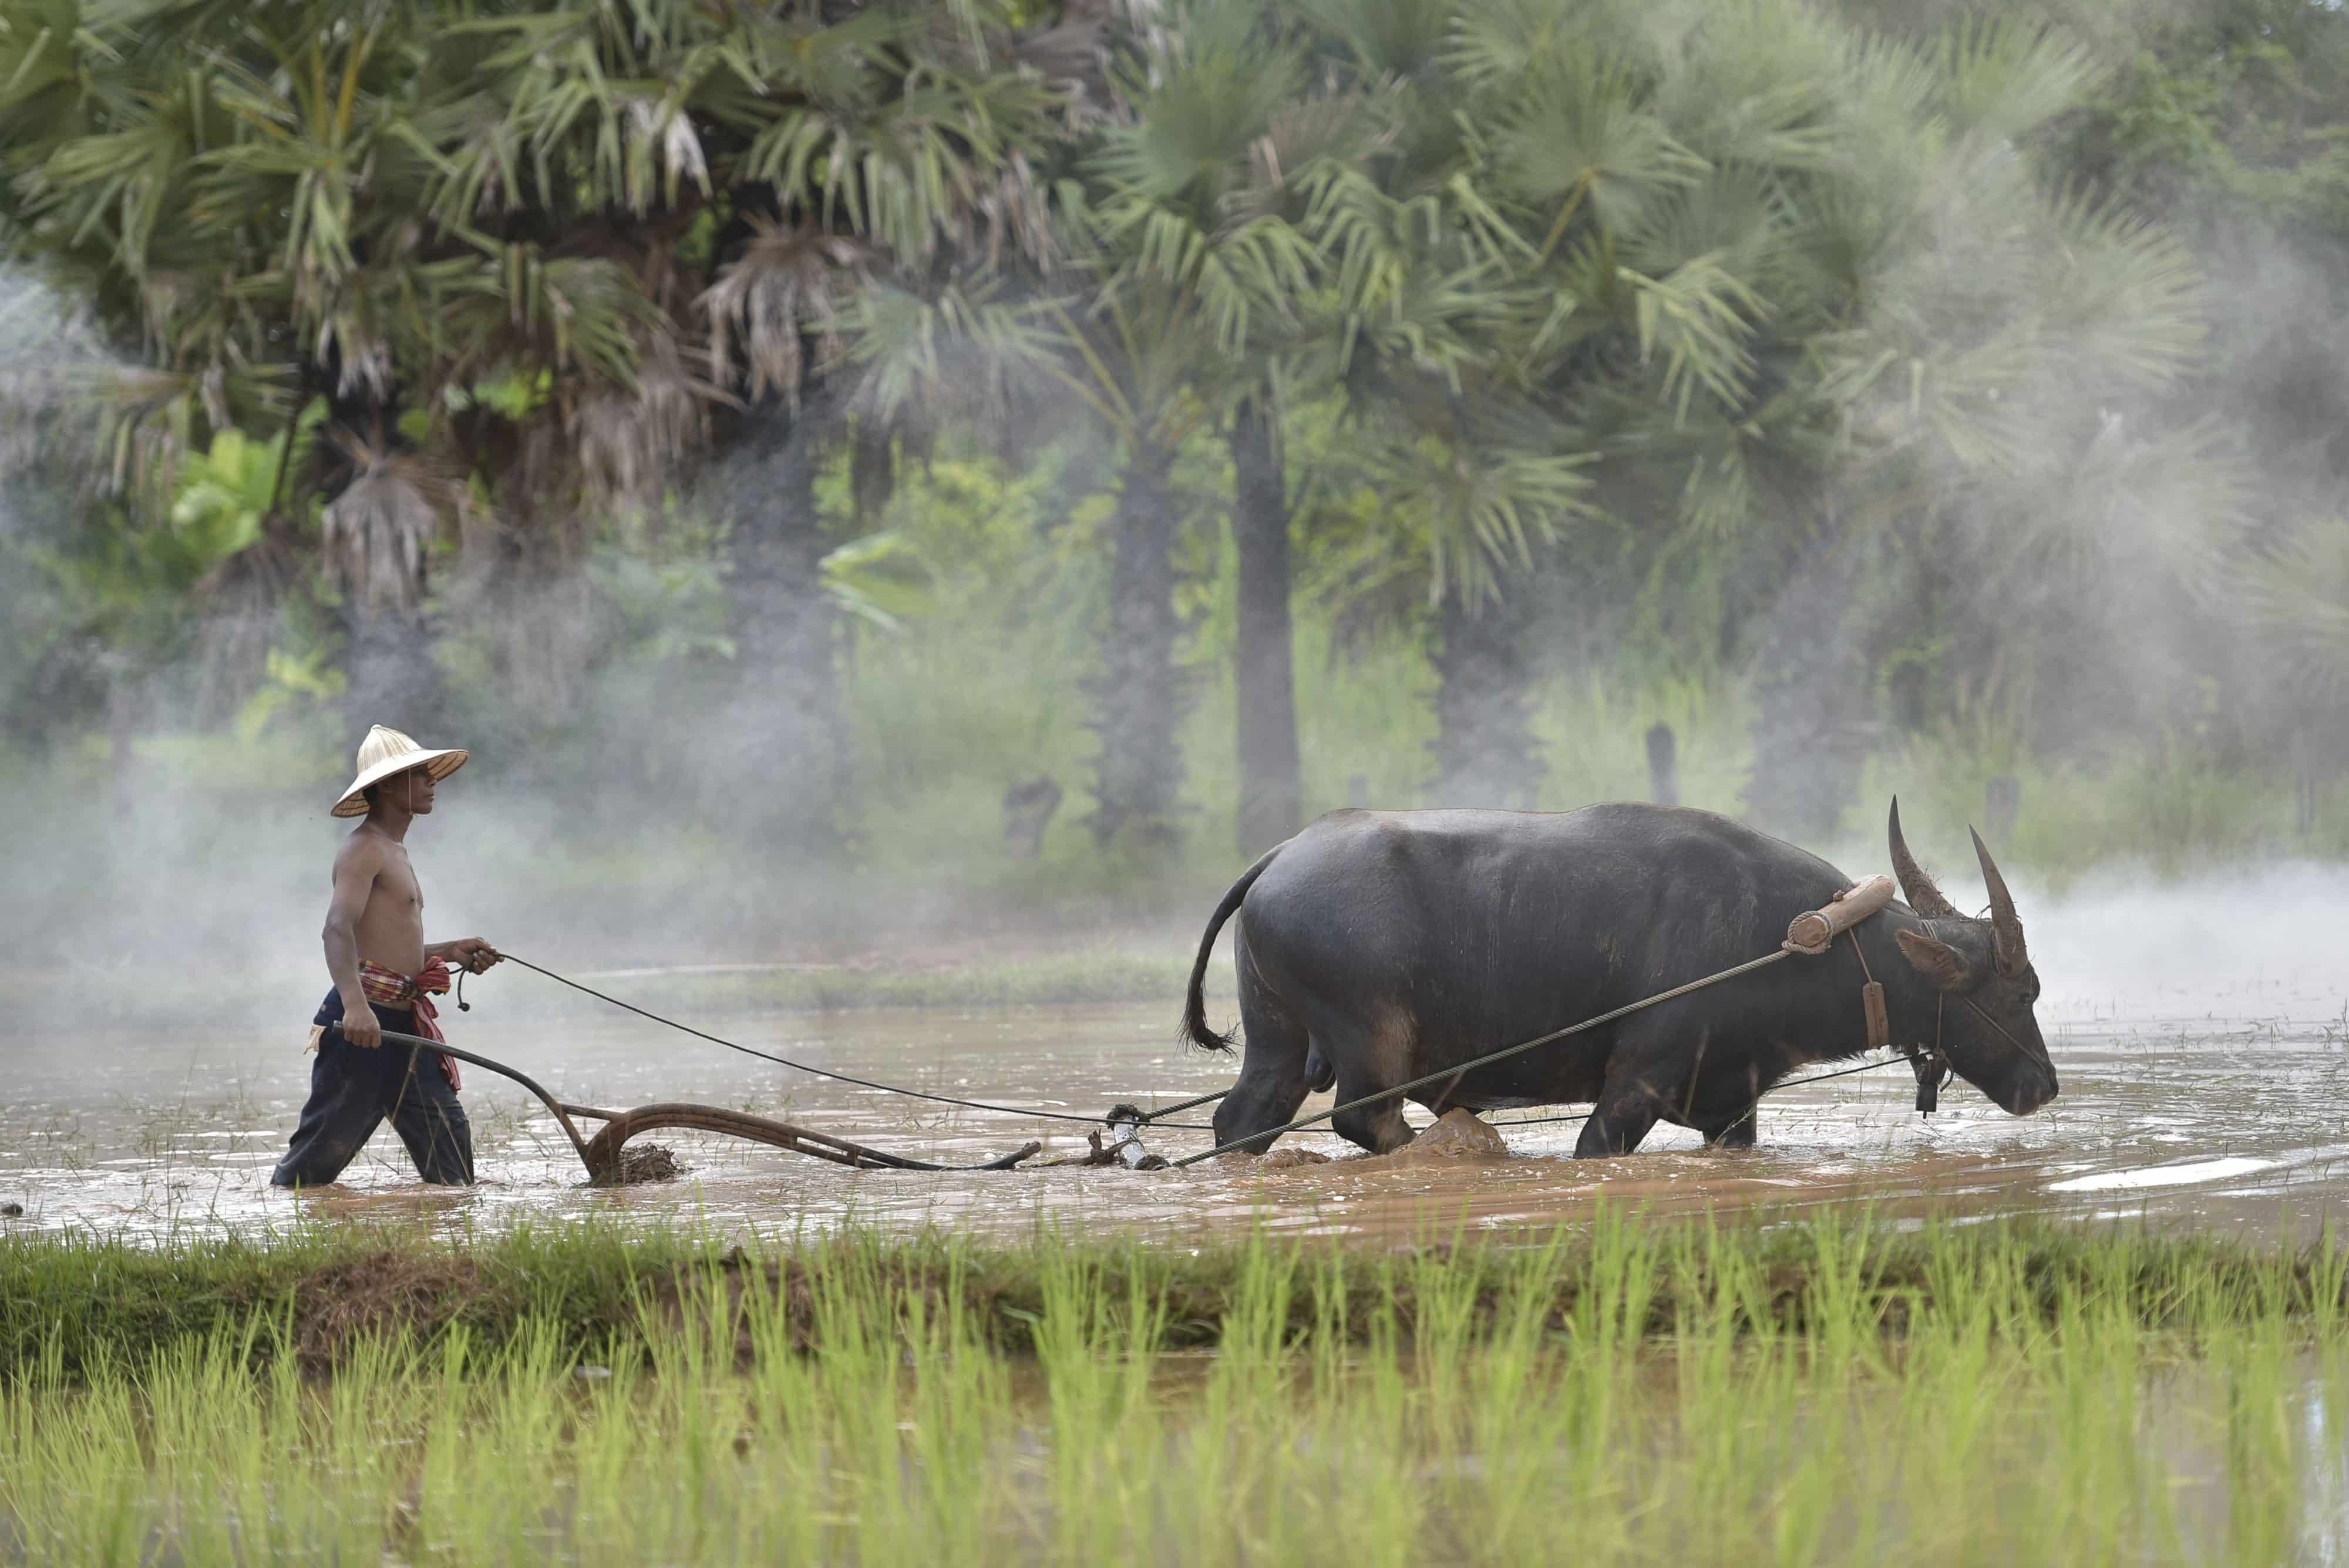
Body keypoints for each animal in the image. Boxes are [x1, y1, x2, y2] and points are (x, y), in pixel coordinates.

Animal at [1180, 800, 2056, 1157]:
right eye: (2019, 993)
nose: (2045, 1084)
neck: (1793, 937)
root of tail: (1281, 857)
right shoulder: (1634, 1087)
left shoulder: (1731, 1107)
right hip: (1373, 1045)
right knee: (1367, 1122)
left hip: (1277, 1045)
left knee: (1241, 1120)